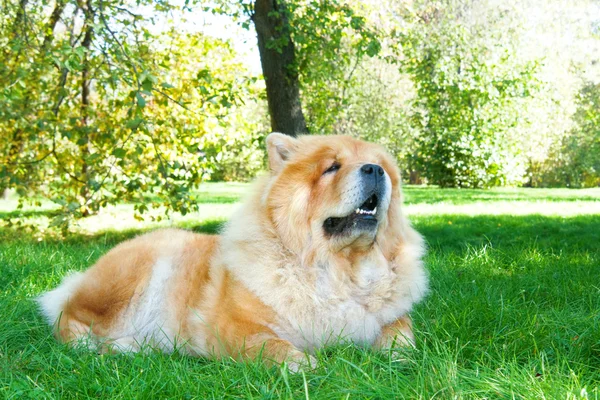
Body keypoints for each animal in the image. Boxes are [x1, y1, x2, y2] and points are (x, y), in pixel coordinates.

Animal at [37, 133, 428, 370]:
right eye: (332, 167)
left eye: (383, 168)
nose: (375, 170)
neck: (339, 270)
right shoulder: (234, 328)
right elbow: (273, 346)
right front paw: (310, 365)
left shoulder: (390, 317)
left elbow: (401, 334)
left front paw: (399, 358)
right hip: (127, 279)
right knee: (68, 317)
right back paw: (98, 346)